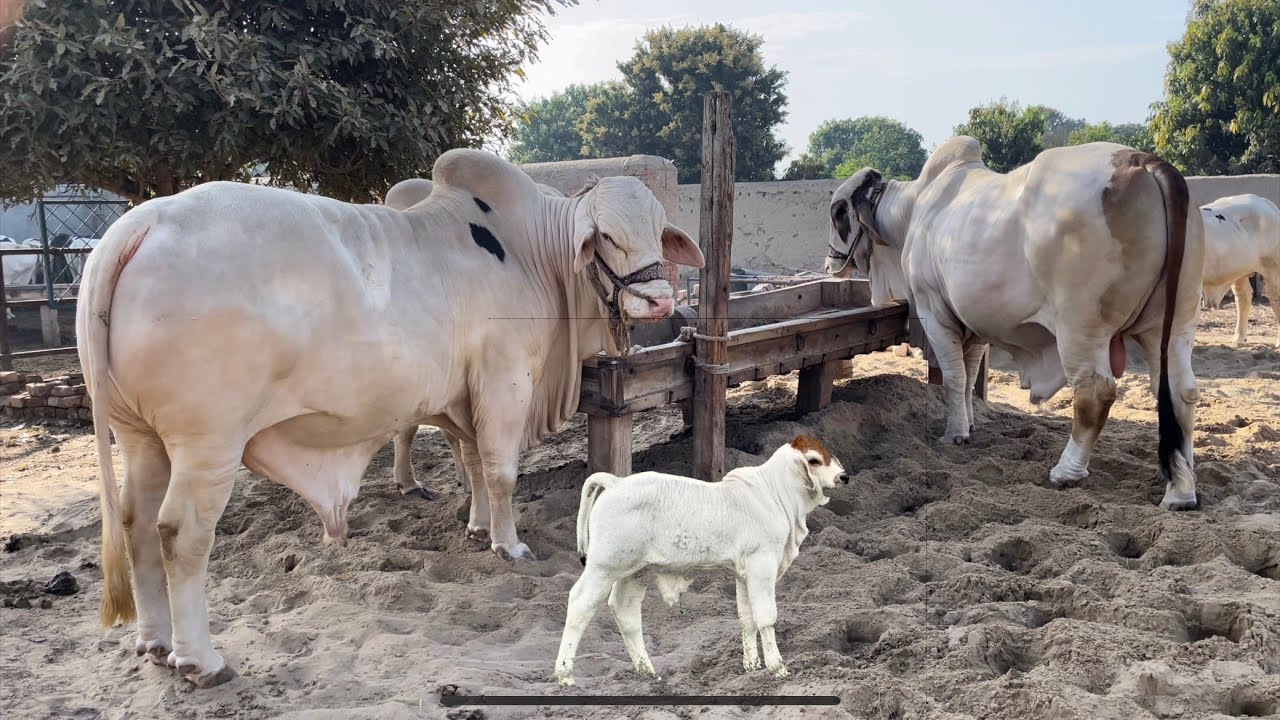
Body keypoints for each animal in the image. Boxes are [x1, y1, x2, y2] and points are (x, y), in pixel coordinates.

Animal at [77, 148, 704, 687]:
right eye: (608, 237)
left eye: (658, 232)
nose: (659, 301)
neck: (534, 252)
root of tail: (138, 226)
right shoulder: (505, 380)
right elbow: (501, 472)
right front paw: (509, 545)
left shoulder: (465, 394)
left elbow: (472, 464)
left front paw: (478, 528)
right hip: (208, 443)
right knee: (180, 533)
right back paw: (200, 659)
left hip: (140, 437)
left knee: (135, 523)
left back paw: (155, 641)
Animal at [552, 435, 850, 686]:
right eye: (814, 459)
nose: (843, 476)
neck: (773, 495)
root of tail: (616, 482)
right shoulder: (761, 566)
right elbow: (766, 617)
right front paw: (778, 667)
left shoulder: (744, 574)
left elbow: (747, 618)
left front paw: (752, 667)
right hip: (603, 567)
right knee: (580, 603)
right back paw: (565, 674)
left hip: (635, 571)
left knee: (625, 610)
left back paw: (647, 672)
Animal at [825, 137, 1204, 511]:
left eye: (838, 213)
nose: (830, 263)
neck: (915, 207)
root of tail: (1140, 161)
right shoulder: (975, 323)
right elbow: (968, 378)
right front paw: (970, 424)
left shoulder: (935, 312)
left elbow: (954, 378)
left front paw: (954, 433)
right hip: (1173, 324)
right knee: (1180, 391)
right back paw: (1180, 490)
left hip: (1081, 326)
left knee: (1095, 391)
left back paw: (1066, 472)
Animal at [1197, 194, 1280, 347]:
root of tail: (1264, 202)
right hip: (1238, 272)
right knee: (1243, 297)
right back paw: (1238, 338)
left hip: (1273, 268)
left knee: (1276, 298)